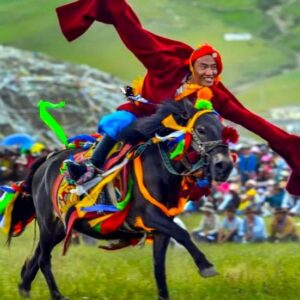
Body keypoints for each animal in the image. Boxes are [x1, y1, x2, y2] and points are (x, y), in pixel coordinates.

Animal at [8, 99, 233, 300]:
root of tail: (46, 162)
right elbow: (183, 234)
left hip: (61, 227)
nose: (224, 166)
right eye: (201, 130)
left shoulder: (160, 229)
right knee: (44, 259)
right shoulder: (150, 216)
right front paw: (206, 266)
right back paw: (56, 295)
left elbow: (159, 267)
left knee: (37, 256)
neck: (160, 168)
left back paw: (24, 287)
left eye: (222, 130)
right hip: (48, 222)